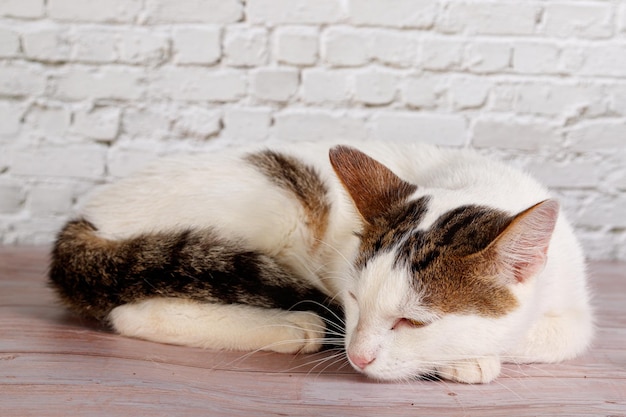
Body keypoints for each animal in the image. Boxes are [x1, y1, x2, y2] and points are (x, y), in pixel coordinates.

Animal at [47, 141, 588, 382]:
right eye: (353, 298)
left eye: (413, 321)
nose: (358, 356)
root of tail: (86, 214)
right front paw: (469, 357)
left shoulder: (576, 307)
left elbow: (558, 334)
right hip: (284, 201)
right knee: (132, 312)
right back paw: (294, 327)